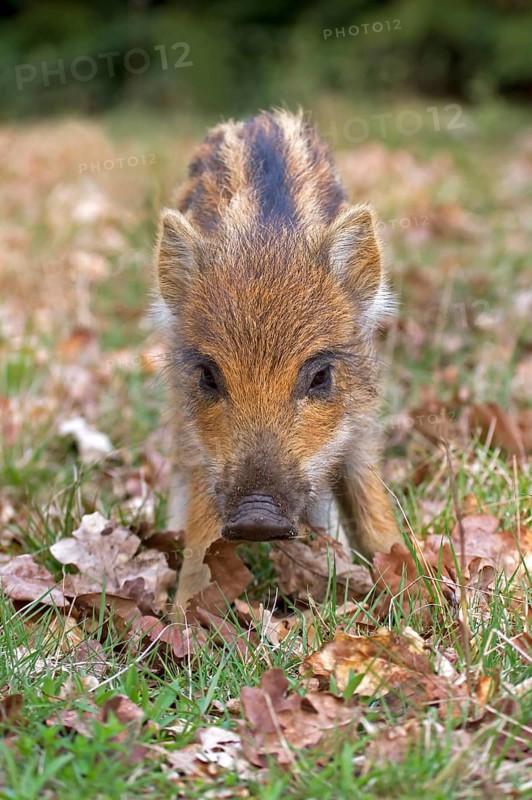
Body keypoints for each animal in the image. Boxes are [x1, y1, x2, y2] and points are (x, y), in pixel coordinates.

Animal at [152, 110, 401, 616]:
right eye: (208, 376)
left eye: (321, 375)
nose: (258, 517)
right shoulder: (199, 444)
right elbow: (201, 533)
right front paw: (183, 619)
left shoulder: (362, 424)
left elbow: (374, 510)